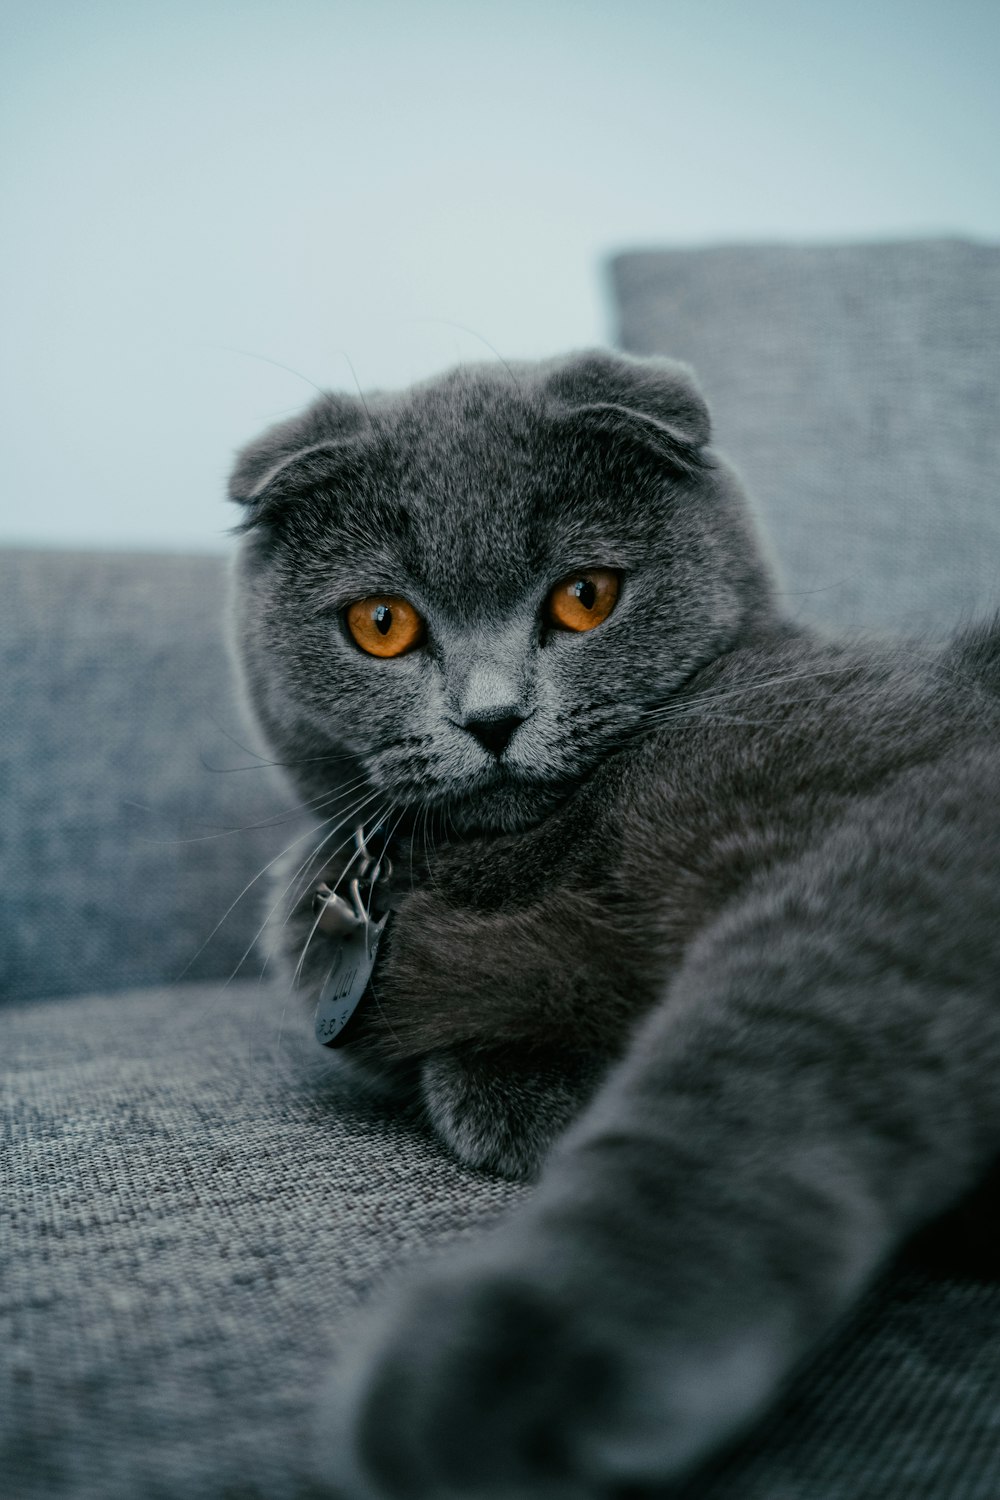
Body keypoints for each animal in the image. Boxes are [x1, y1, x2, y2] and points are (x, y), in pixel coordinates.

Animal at [229, 345, 1000, 1494]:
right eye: (382, 624)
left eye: (586, 597)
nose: (492, 719)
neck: (530, 857)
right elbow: (472, 1078)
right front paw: (545, 1087)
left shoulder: (925, 818)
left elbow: (741, 1076)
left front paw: (525, 1363)